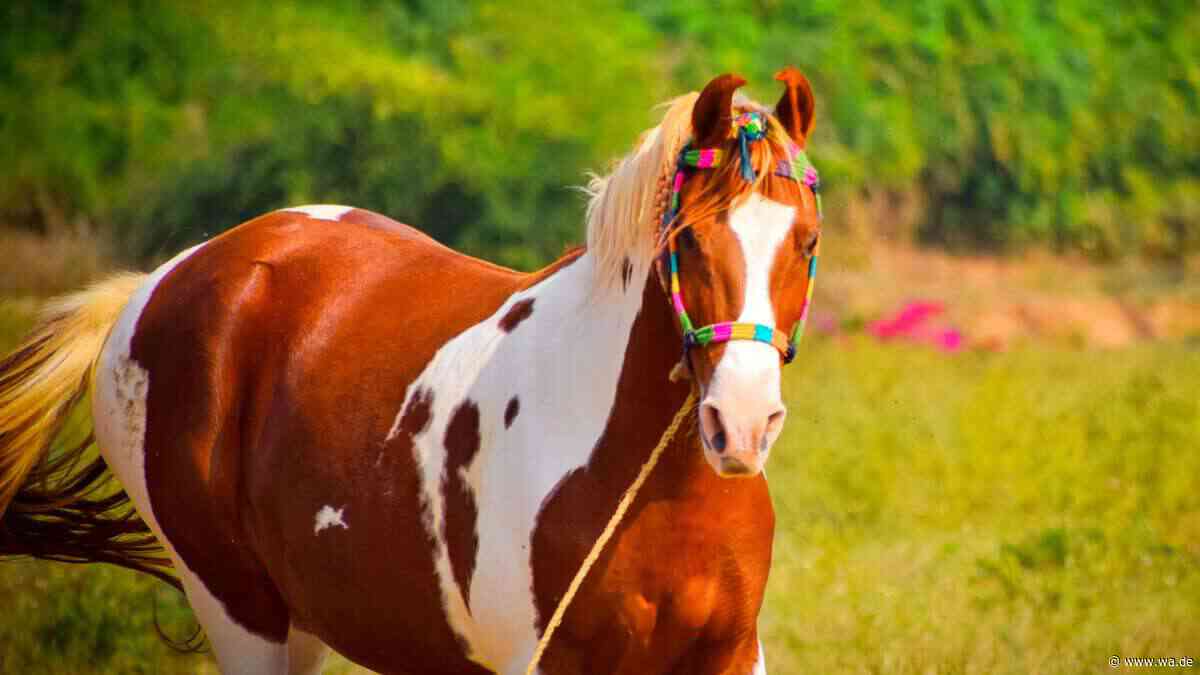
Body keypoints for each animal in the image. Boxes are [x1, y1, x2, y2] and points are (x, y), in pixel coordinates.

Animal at [0, 69, 822, 674]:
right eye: (688, 240)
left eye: (807, 241)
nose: (742, 424)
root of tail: (161, 280)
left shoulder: (728, 656)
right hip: (235, 605)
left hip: (301, 620)